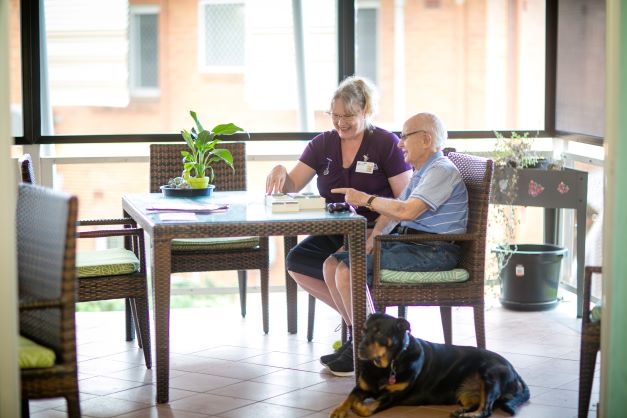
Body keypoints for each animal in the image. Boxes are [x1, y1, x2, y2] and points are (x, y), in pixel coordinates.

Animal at [332, 314, 532, 418]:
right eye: (363, 330)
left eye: (379, 332)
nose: (359, 347)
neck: (388, 365)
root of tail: (513, 369)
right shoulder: (361, 387)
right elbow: (348, 398)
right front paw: (338, 410)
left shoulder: (393, 395)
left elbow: (366, 408)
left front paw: (357, 407)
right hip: (466, 391)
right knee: (477, 402)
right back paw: (462, 411)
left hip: (490, 374)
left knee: (486, 410)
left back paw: (469, 414)